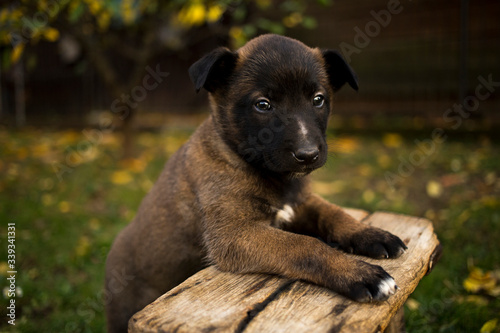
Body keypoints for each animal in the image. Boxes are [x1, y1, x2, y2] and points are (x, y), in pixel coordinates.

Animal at [104, 34, 406, 332]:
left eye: (318, 99)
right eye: (263, 104)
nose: (308, 154)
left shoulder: (301, 203)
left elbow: (335, 214)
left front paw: (370, 234)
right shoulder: (233, 236)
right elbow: (304, 245)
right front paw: (359, 273)